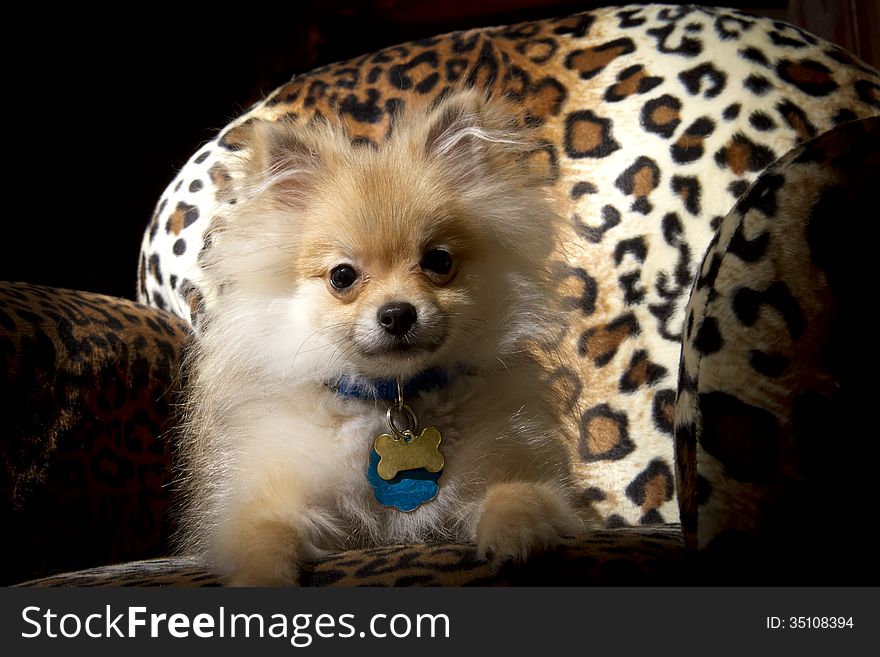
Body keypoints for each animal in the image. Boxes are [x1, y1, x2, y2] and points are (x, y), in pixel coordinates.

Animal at [174, 88, 580, 584]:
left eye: (439, 261)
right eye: (342, 276)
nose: (397, 313)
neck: (393, 400)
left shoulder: (516, 470)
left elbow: (519, 493)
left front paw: (519, 533)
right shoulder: (271, 498)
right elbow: (265, 533)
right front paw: (263, 575)